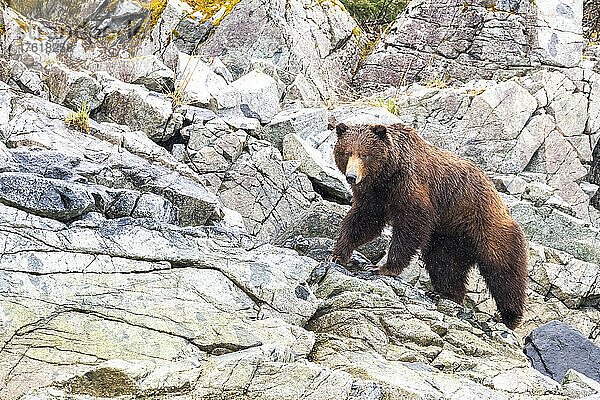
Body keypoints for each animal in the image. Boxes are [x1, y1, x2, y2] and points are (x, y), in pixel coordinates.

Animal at [330, 122, 528, 328]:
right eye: (347, 152)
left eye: (364, 154)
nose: (351, 176)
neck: (387, 174)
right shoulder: (375, 195)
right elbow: (363, 221)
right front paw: (338, 254)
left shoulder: (411, 186)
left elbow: (412, 224)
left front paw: (384, 267)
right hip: (450, 235)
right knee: (444, 263)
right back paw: (445, 293)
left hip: (487, 226)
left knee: (503, 272)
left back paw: (509, 317)